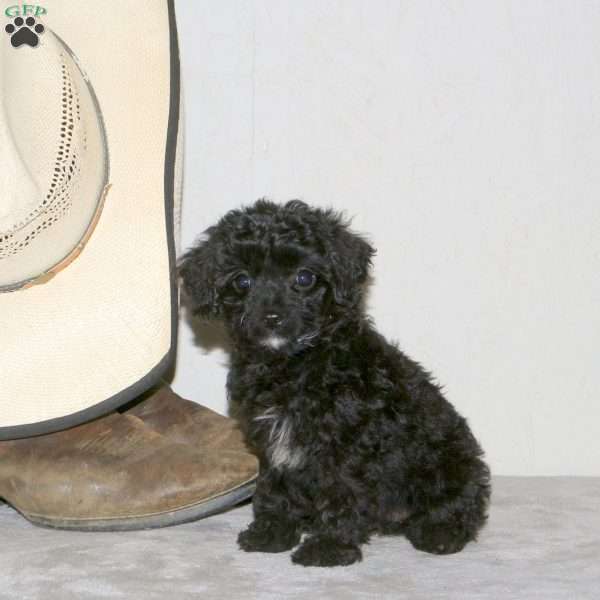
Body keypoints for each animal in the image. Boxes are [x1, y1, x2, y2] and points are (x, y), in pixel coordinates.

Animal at [180, 200, 490, 568]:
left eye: (304, 278)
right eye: (242, 281)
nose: (272, 317)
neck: (293, 363)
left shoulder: (346, 444)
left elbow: (341, 492)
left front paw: (329, 547)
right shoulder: (270, 440)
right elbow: (274, 488)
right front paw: (272, 533)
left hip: (451, 463)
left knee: (460, 506)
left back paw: (440, 533)